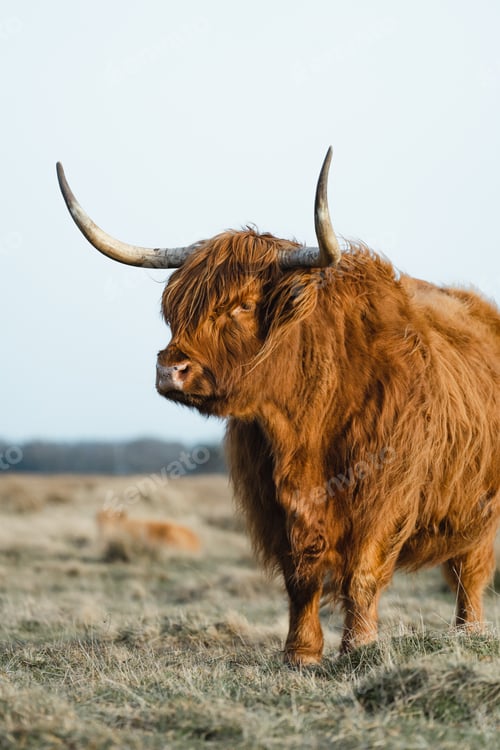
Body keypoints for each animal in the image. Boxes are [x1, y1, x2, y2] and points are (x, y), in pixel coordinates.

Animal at [57, 150, 500, 665]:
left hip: (479, 510)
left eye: (244, 306)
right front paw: (300, 653)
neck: (305, 424)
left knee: (469, 572)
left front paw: (359, 647)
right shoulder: (273, 501)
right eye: (175, 307)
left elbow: (363, 574)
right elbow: (300, 578)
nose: (170, 369)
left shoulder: (383, 494)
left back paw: (469, 633)